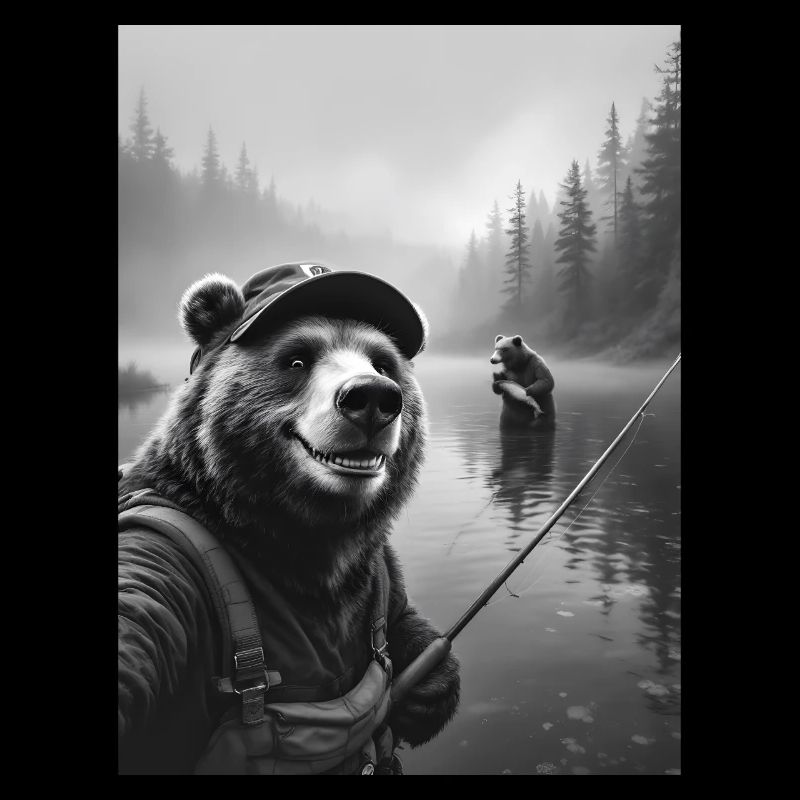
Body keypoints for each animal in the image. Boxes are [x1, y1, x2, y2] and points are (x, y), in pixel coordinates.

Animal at [118, 265, 460, 774]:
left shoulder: (373, 562)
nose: (373, 396)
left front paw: (431, 686)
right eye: (297, 359)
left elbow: (400, 613)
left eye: (383, 363)